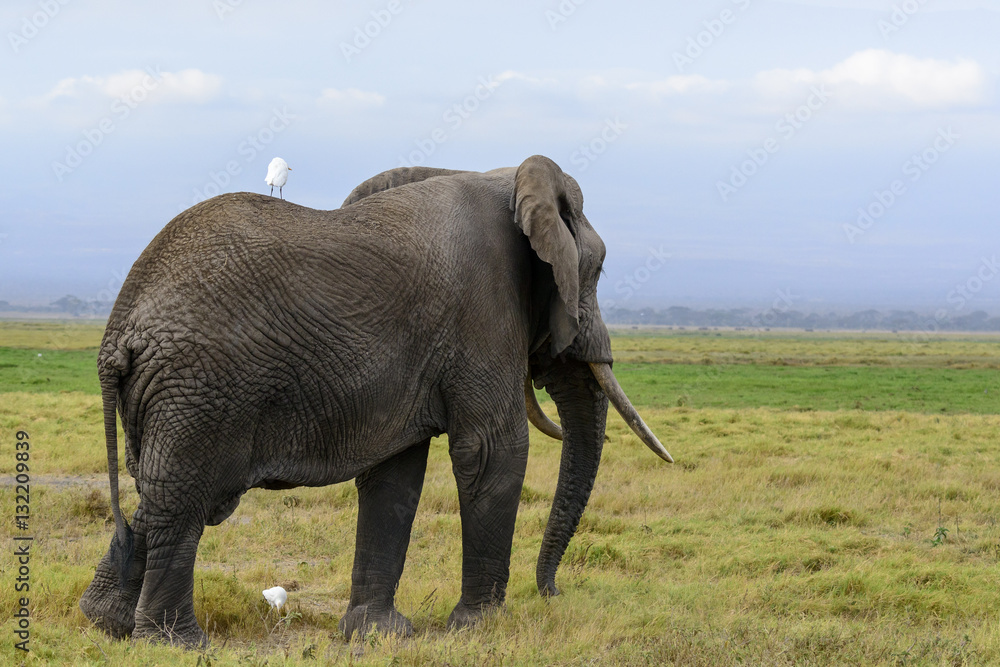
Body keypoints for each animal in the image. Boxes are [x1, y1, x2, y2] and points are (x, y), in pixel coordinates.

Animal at [78, 154, 672, 644]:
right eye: (597, 270)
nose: (551, 593)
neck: (505, 177)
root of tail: (120, 327)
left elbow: (393, 474)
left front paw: (378, 634)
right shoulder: (483, 308)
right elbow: (491, 451)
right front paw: (479, 629)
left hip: (169, 395)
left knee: (155, 495)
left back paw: (107, 622)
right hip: (199, 390)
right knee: (183, 502)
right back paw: (175, 643)